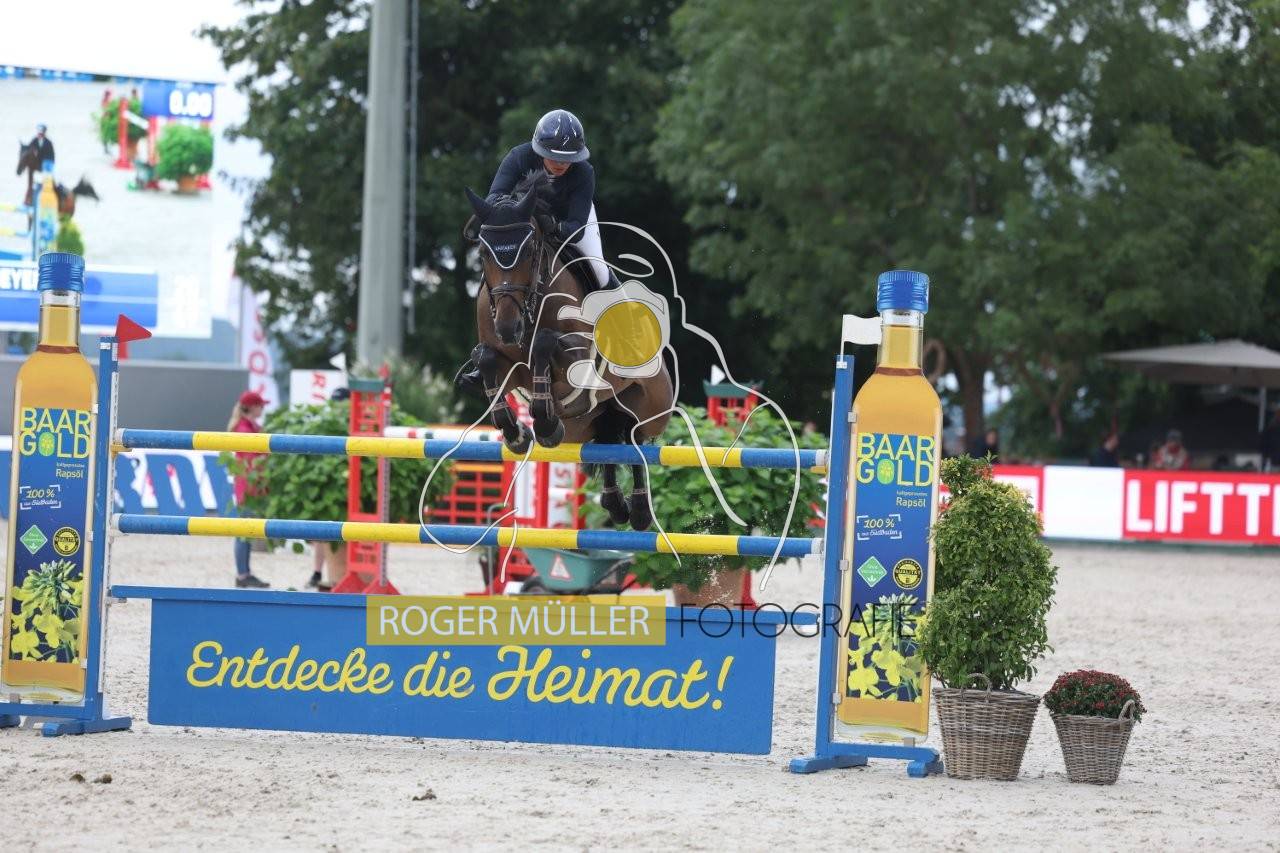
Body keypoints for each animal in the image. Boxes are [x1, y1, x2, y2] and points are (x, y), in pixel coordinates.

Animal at [462, 172, 674, 531]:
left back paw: (640, 511)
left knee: (636, 443)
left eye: (529, 250)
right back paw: (616, 505)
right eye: (483, 251)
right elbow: (487, 359)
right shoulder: (508, 366)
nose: (507, 328)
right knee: (610, 440)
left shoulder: (578, 361)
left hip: (651, 409)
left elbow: (545, 345)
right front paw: (517, 434)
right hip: (584, 425)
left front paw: (545, 425)